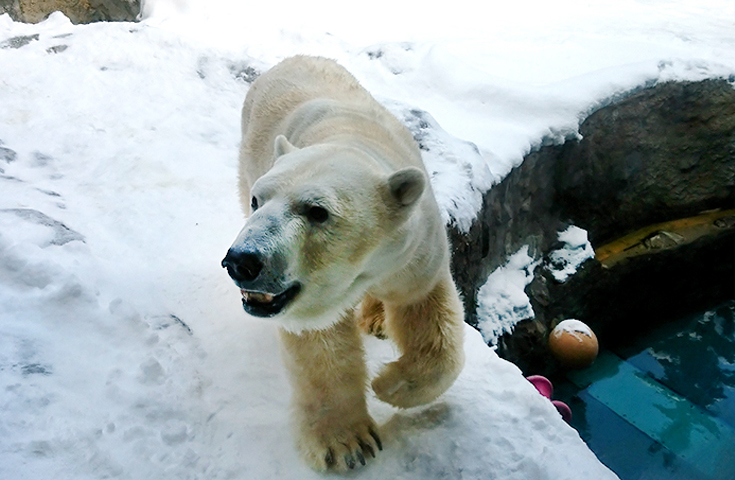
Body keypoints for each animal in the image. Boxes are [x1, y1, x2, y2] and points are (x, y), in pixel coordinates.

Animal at [223, 55, 466, 468]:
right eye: (259, 200)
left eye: (317, 211)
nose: (242, 261)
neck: (347, 139)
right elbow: (320, 342)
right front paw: (347, 445)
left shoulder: (413, 251)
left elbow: (427, 313)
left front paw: (388, 384)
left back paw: (377, 320)